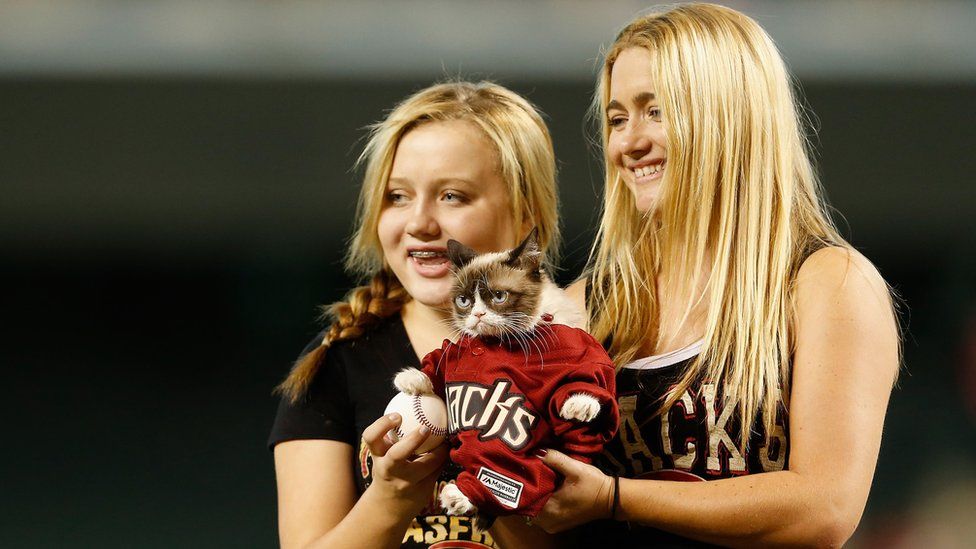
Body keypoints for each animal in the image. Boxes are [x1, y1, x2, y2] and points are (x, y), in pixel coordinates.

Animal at [390, 229, 612, 520]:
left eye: (498, 296)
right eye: (464, 301)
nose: (477, 314)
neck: (502, 341)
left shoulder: (575, 348)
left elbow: (584, 372)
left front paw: (580, 404)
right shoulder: (458, 350)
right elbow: (438, 362)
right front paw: (412, 378)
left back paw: (461, 496)